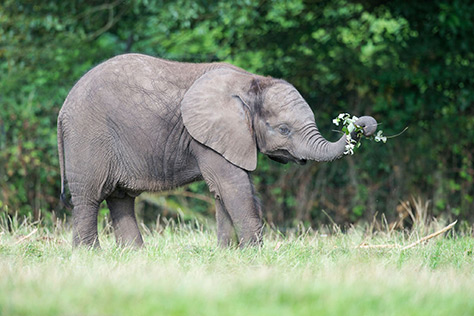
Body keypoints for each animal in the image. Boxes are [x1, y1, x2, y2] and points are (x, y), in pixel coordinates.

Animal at [58, 53, 378, 248]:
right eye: (283, 129)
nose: (363, 125)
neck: (251, 81)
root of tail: (63, 109)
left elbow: (225, 190)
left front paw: (228, 253)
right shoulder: (207, 135)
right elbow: (233, 185)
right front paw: (255, 255)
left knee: (121, 199)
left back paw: (134, 256)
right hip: (88, 136)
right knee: (89, 196)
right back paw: (91, 255)